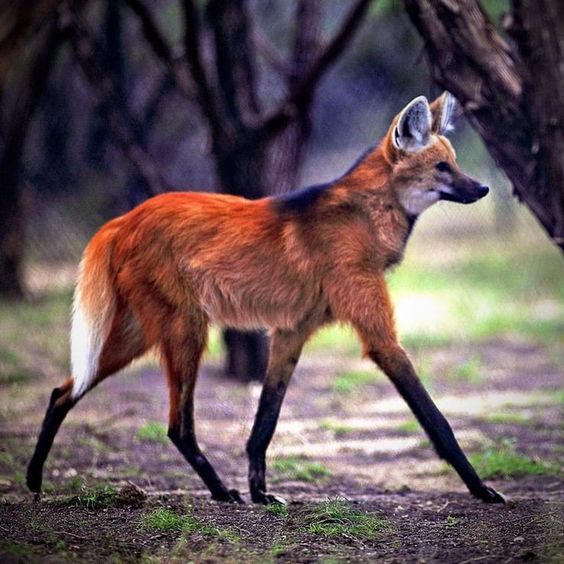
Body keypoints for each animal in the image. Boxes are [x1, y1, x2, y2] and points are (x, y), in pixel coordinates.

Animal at [26, 92, 502, 502]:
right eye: (442, 167)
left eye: (454, 163)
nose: (482, 189)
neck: (366, 217)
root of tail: (122, 220)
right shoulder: (379, 338)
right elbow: (437, 420)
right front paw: (481, 489)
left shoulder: (291, 332)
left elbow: (265, 421)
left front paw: (261, 493)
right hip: (186, 331)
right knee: (177, 427)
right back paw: (220, 492)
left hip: (138, 335)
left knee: (62, 392)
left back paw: (33, 480)